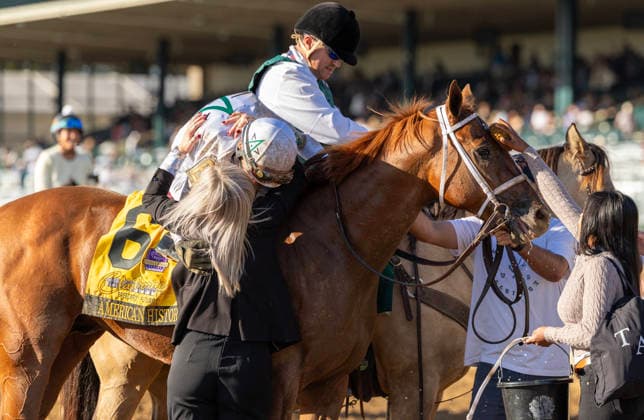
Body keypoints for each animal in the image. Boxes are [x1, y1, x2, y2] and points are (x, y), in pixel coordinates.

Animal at [0, 81, 549, 419]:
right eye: (484, 149)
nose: (538, 213)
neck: (334, 244)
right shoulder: (393, 386)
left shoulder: (330, 387)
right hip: (35, 362)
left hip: (78, 347)